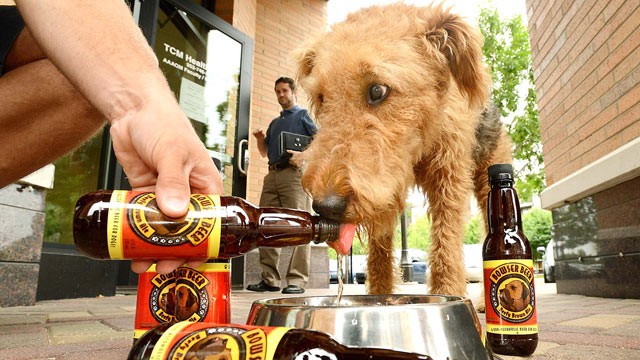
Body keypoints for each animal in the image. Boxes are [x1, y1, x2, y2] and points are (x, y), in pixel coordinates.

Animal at [294, 4, 510, 298]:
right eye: (321, 97)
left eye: (377, 89)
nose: (327, 206)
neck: (420, 142)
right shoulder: (387, 187)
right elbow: (380, 248)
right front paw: (379, 295)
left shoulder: (449, 175)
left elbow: (446, 241)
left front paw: (447, 292)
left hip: (489, 174)